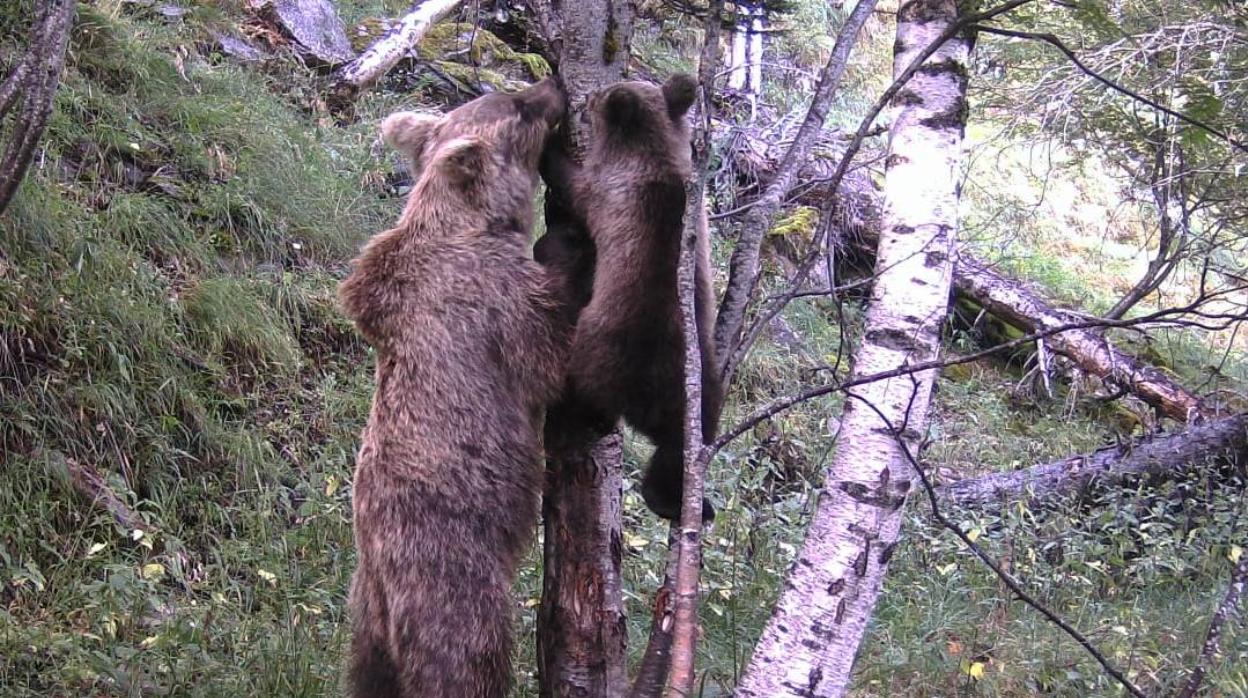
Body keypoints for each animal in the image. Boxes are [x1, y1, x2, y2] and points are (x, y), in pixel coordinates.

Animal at [334, 76, 564, 698]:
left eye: (514, 92)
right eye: (520, 109)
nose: (553, 84)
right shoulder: (493, 296)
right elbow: (554, 351)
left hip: (363, 622)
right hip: (451, 577)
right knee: (467, 659)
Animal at [534, 76, 723, 521]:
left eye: (599, 97)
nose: (588, 98)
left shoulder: (605, 189)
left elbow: (572, 182)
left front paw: (548, 142)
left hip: (597, 351)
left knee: (582, 395)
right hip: (699, 384)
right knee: (687, 441)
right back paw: (680, 501)